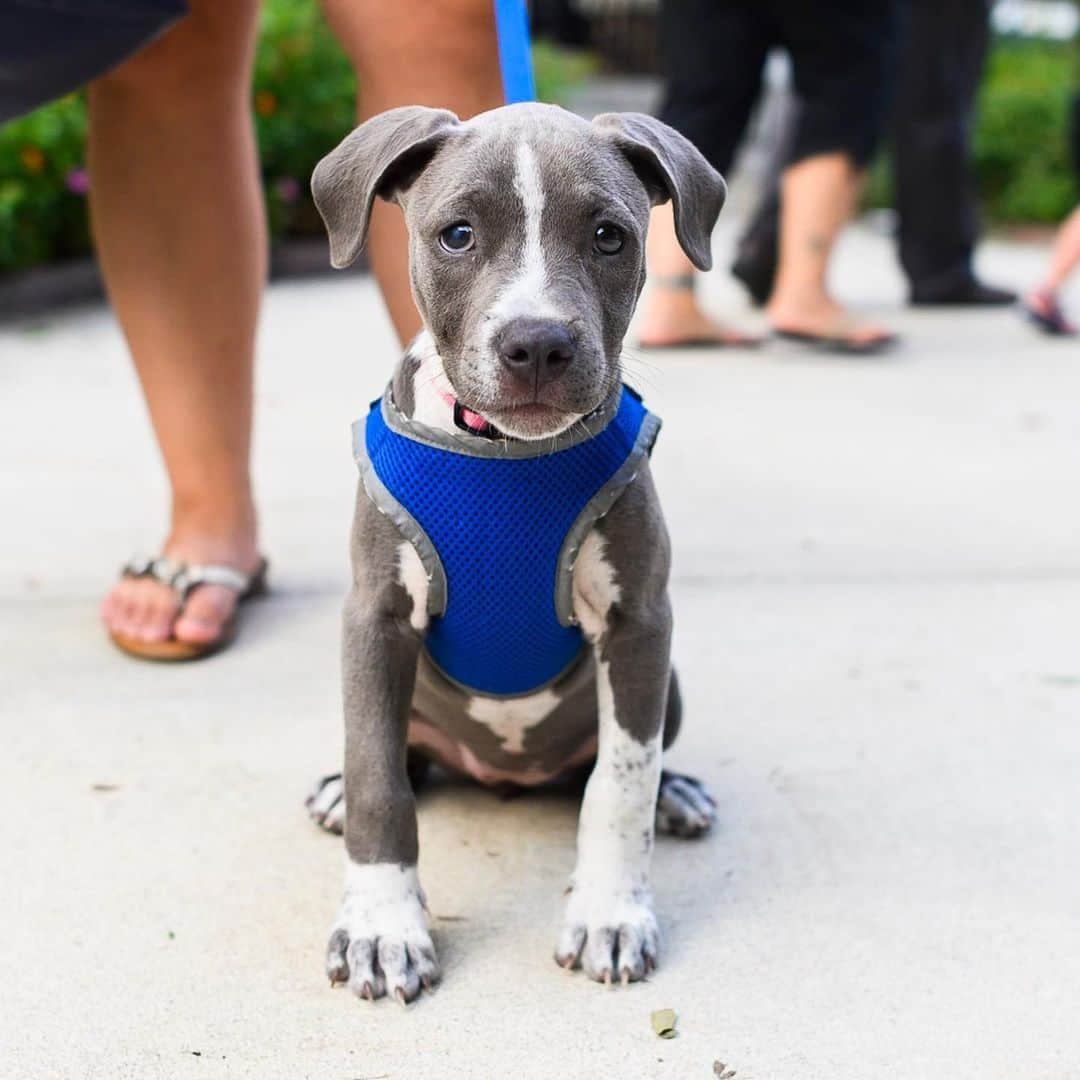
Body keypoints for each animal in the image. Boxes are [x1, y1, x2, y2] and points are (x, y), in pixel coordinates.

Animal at [306, 101, 725, 1002]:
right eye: (457, 235)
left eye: (609, 236)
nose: (537, 344)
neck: (505, 452)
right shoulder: (375, 621)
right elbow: (378, 778)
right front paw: (383, 928)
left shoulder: (641, 626)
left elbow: (621, 782)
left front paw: (611, 915)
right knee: (397, 756)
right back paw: (335, 792)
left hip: (668, 682)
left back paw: (678, 796)